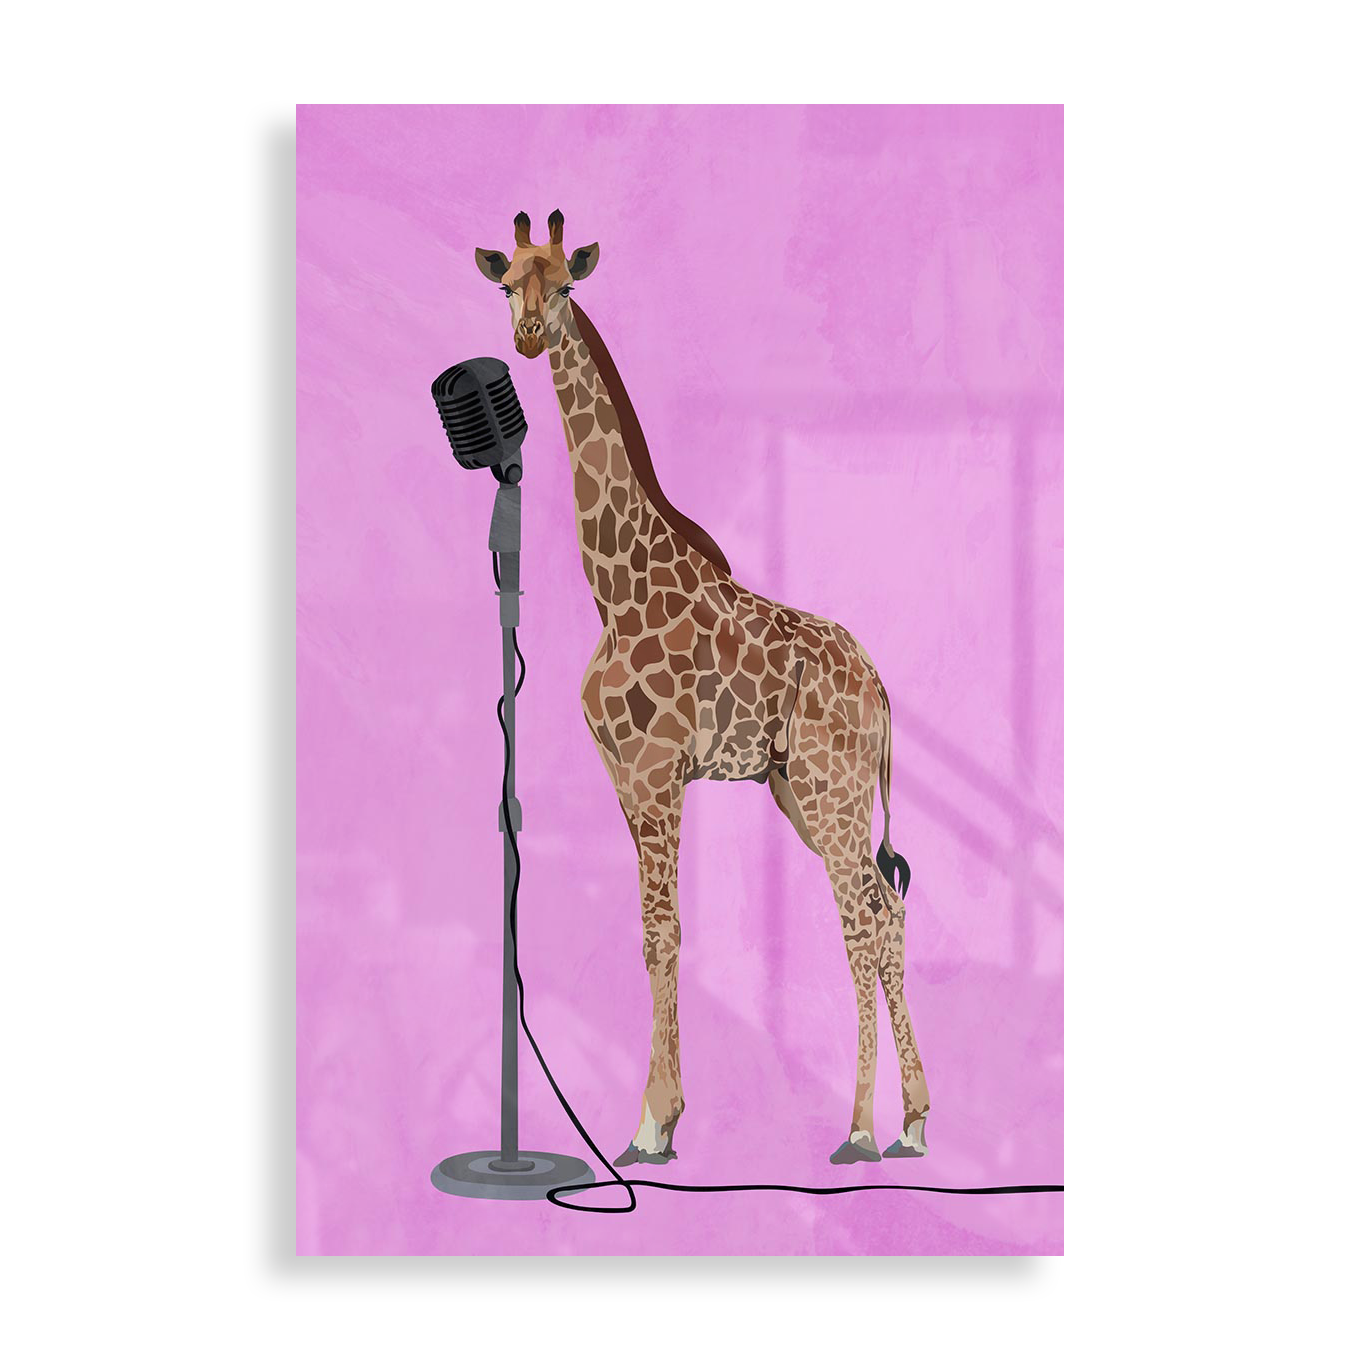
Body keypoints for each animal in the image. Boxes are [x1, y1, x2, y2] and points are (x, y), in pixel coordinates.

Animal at [474, 210, 930, 1166]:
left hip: (831, 790)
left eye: (564, 285)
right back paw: (911, 1122)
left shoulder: (656, 772)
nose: (529, 337)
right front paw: (656, 1117)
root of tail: (880, 687)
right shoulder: (625, 776)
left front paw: (652, 1123)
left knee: (861, 919)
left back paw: (858, 1130)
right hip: (801, 790)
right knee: (888, 909)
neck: (615, 586)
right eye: (505, 286)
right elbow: (652, 930)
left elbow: (662, 931)